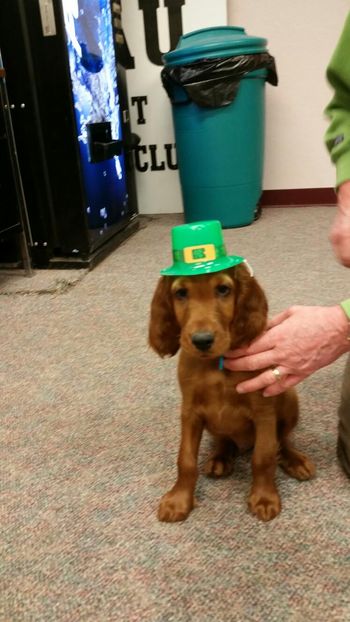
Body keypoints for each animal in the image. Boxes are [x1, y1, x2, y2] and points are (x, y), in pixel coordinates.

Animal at [149, 264, 316, 520]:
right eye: (181, 293)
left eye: (223, 289)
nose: (202, 340)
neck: (215, 363)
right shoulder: (190, 412)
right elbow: (185, 458)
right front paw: (178, 500)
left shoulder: (263, 410)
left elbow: (264, 456)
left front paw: (264, 497)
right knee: (224, 439)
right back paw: (220, 457)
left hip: (289, 398)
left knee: (282, 440)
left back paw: (295, 460)